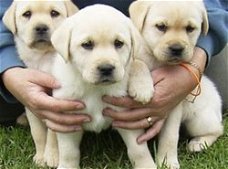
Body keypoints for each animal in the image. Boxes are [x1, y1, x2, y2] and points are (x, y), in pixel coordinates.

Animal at [2, 0, 78, 166]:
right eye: (27, 14)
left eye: (54, 13)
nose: (41, 27)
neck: (43, 57)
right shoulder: (32, 102)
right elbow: (37, 132)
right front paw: (40, 156)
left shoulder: (56, 104)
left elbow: (52, 133)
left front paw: (52, 156)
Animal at [51, 3, 154, 169]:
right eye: (87, 44)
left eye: (118, 43)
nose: (106, 68)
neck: (94, 88)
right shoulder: (68, 119)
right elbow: (68, 152)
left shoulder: (126, 117)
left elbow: (139, 150)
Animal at [129, 0, 224, 168]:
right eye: (161, 26)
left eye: (190, 28)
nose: (177, 48)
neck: (156, 59)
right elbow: (137, 62)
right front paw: (142, 88)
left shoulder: (172, 106)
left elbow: (170, 136)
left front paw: (167, 161)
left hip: (198, 120)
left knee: (218, 129)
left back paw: (199, 143)